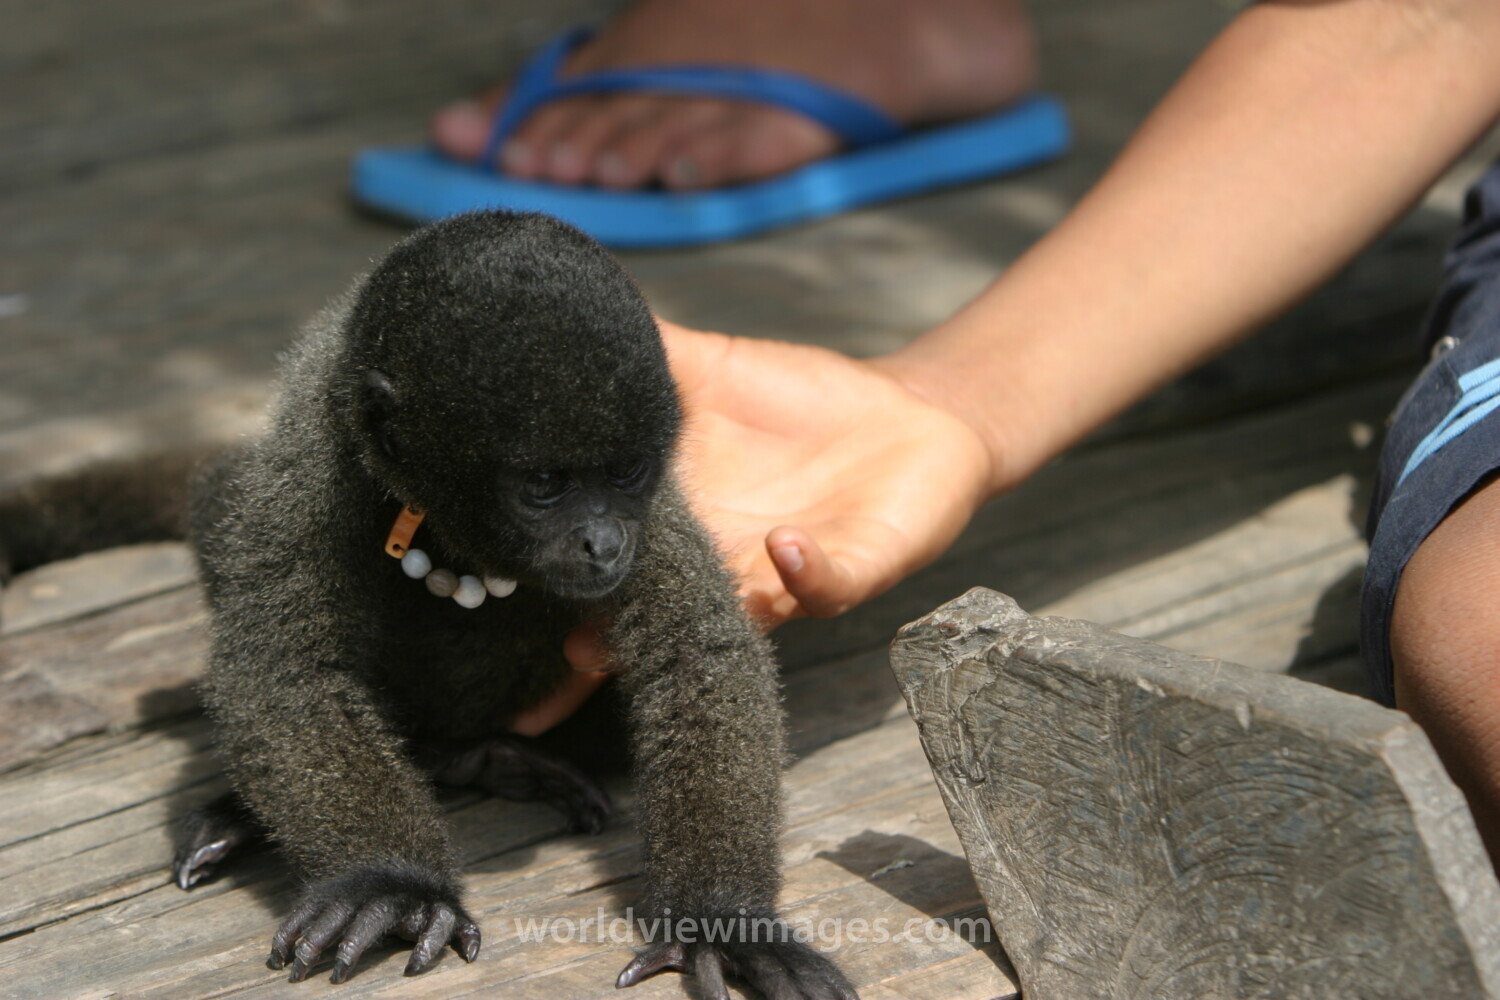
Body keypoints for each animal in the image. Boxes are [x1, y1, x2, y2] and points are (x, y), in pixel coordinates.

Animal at [156, 211, 858, 998]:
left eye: (625, 471)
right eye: (546, 483)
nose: (603, 542)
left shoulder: (652, 511)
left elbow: (695, 657)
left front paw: (723, 920)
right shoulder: (317, 458)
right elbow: (281, 668)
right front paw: (386, 882)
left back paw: (484, 757)